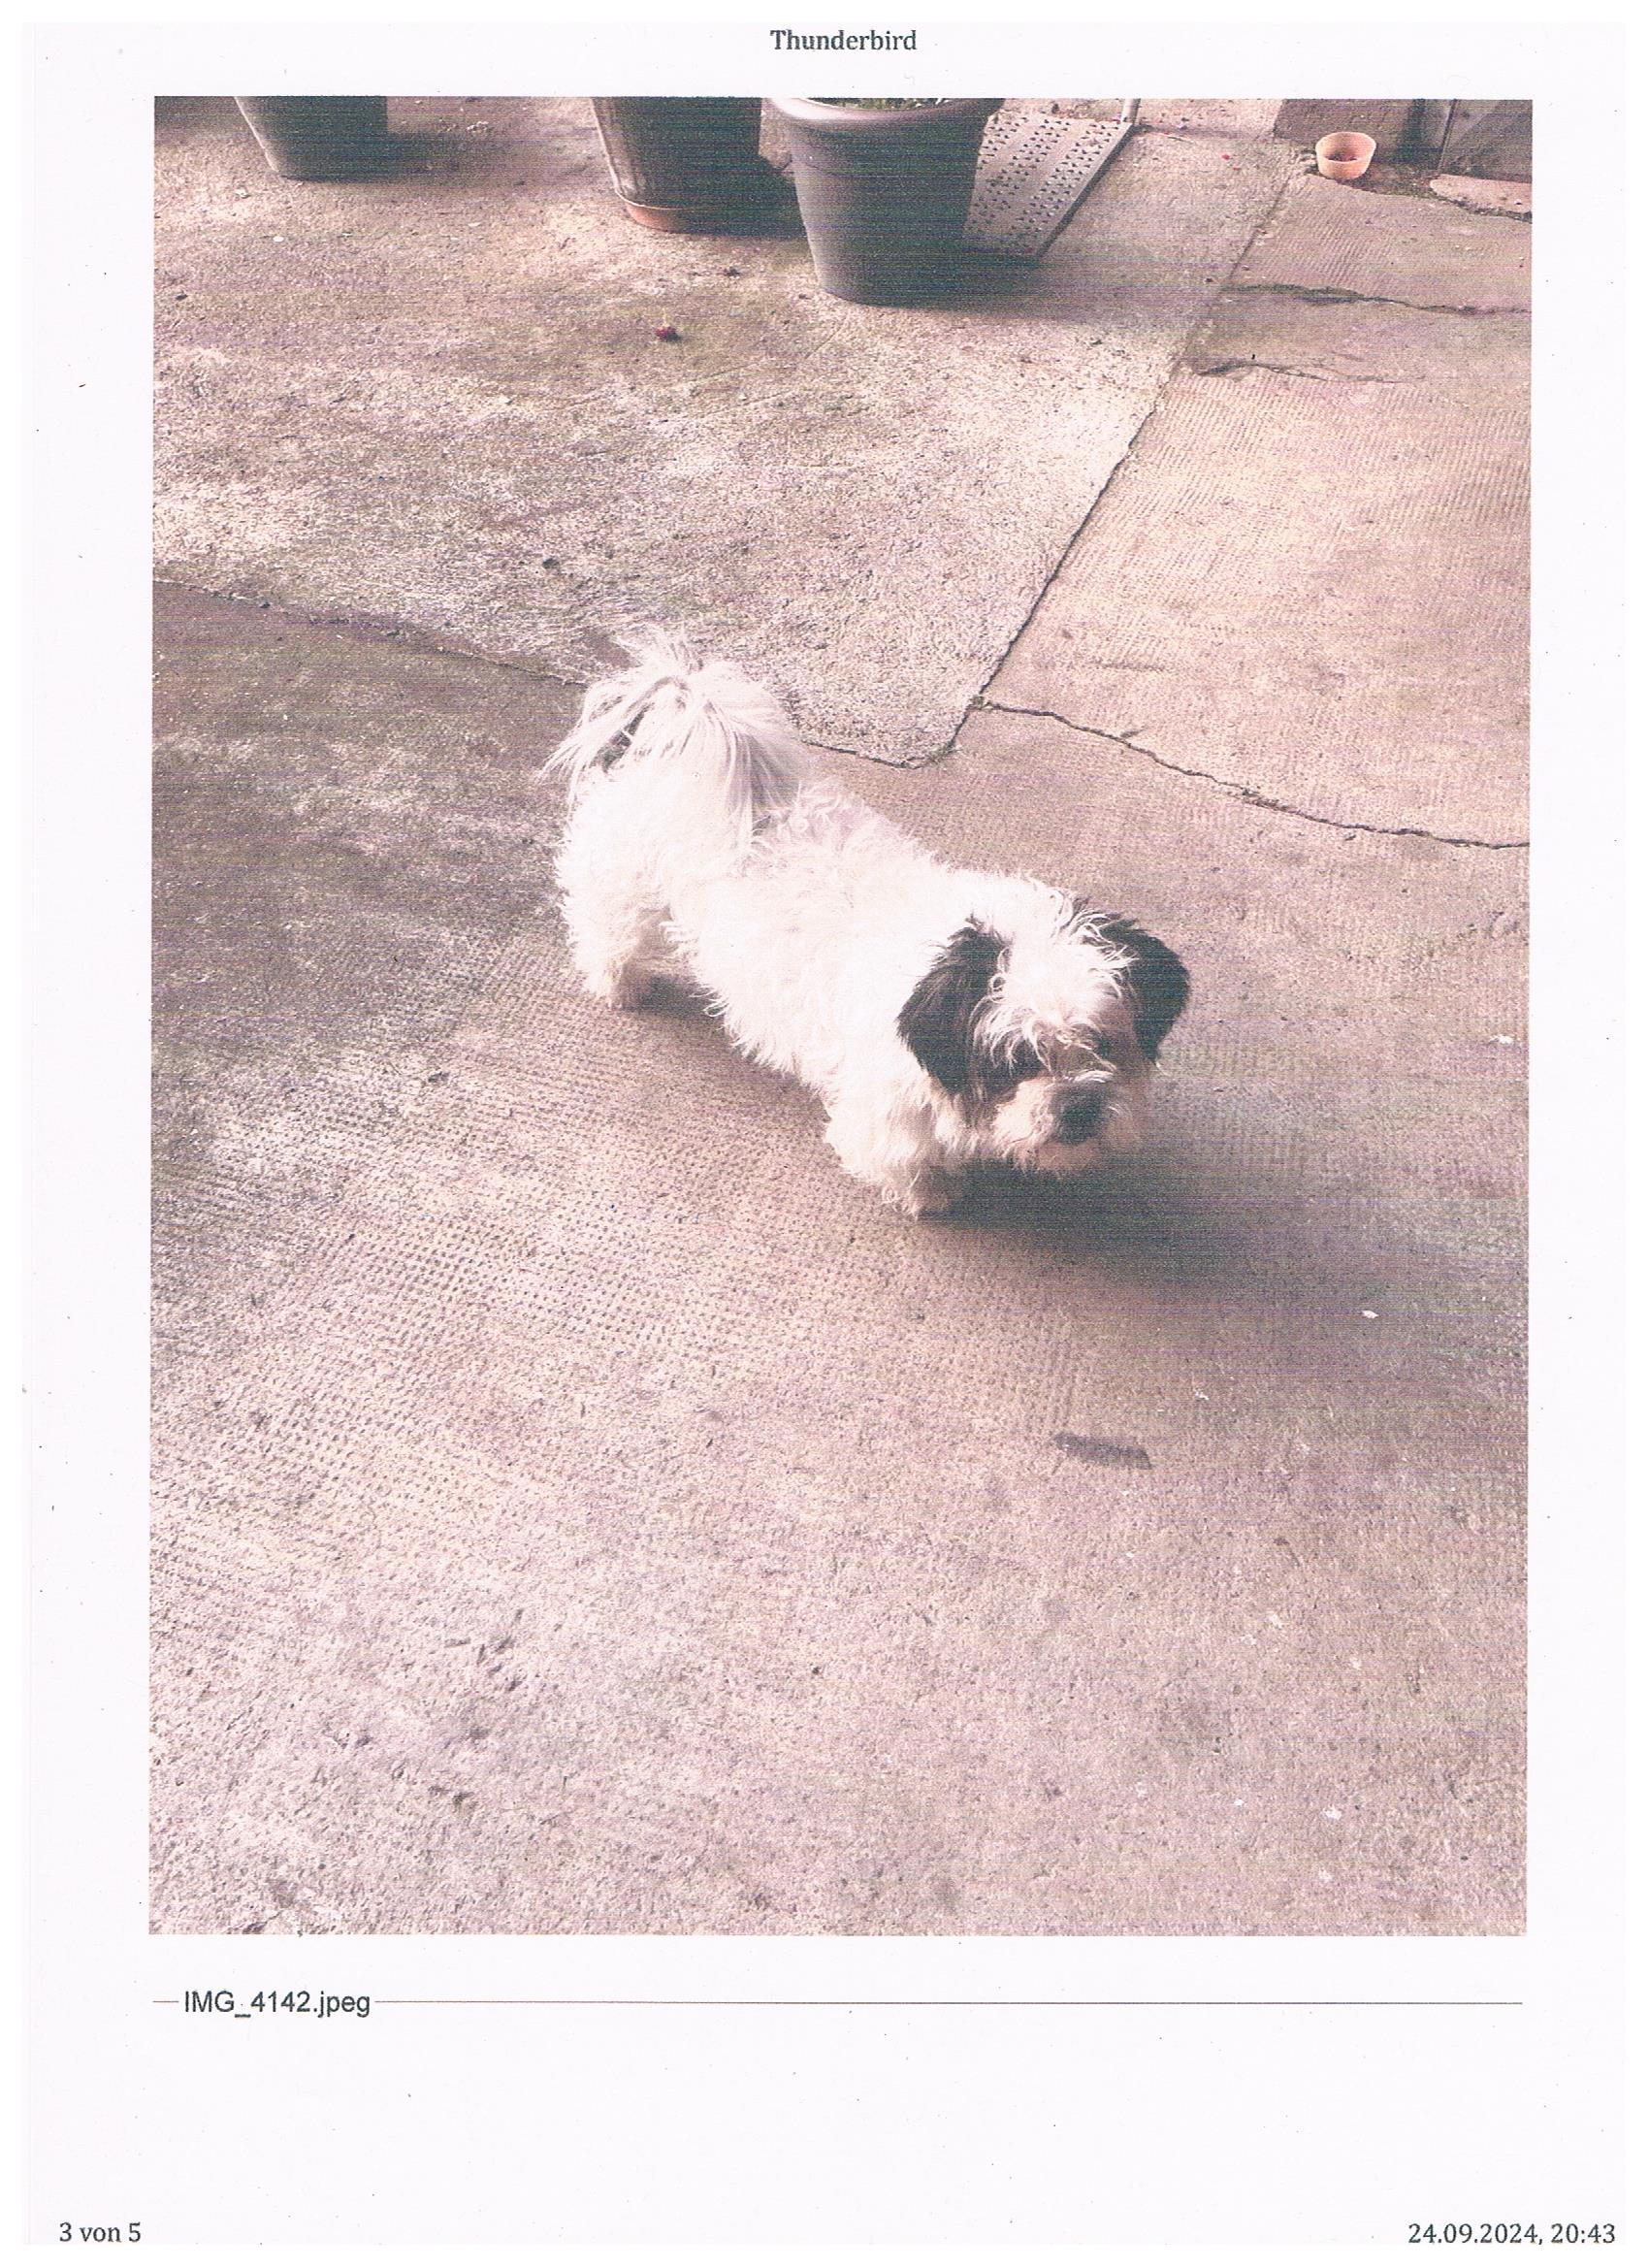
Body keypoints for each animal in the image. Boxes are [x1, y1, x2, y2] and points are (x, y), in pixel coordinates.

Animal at [546, 634, 1189, 1217]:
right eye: (1018, 1059)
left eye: (1102, 1042)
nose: (1077, 1107)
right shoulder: (885, 1115)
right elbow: (905, 1162)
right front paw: (931, 1196)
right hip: (625, 891)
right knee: (606, 932)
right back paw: (620, 985)